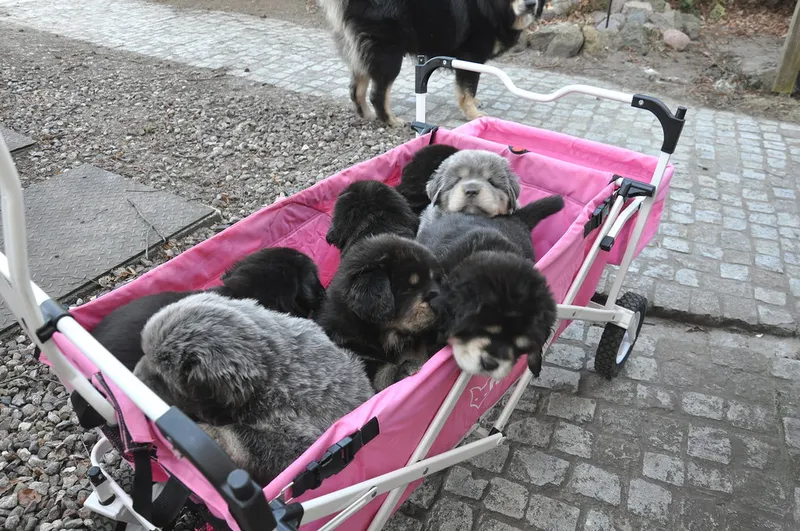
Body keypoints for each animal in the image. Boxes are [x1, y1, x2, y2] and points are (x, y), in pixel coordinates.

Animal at [135, 292, 374, 486]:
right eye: (144, 352)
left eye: (161, 376)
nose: (135, 376)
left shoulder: (298, 443)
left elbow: (242, 439)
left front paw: (205, 434)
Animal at [318, 0, 543, 126]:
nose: (531, 4)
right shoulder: (471, 56)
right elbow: (467, 88)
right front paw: (473, 113)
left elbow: (470, 88)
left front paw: (475, 102)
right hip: (388, 54)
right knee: (377, 94)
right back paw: (390, 120)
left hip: (360, 52)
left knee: (356, 89)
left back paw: (366, 114)